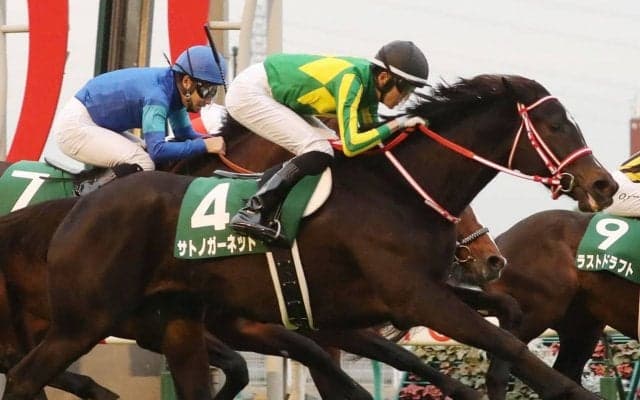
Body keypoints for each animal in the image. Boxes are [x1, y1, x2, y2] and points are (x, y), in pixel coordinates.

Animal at [2, 74, 618, 400]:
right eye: (557, 124)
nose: (604, 184)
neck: (394, 192)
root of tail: (78, 208)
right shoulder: (406, 298)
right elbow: (505, 341)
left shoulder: (384, 301)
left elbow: (501, 319)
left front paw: (489, 381)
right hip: (86, 320)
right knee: (27, 375)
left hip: (175, 321)